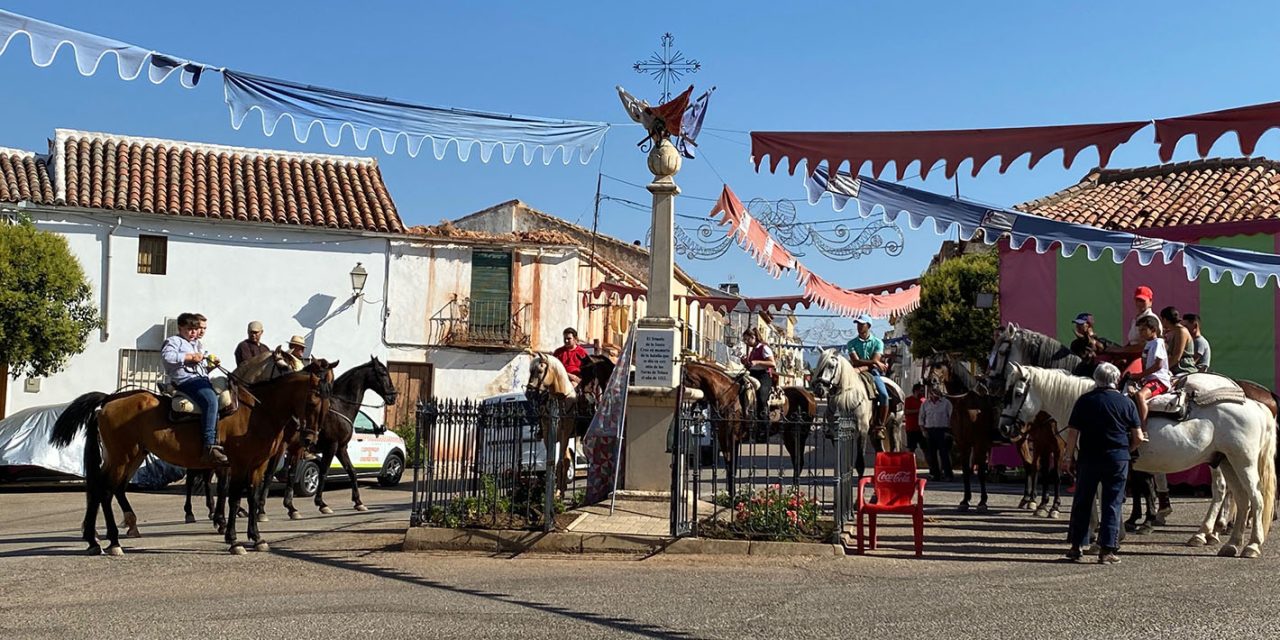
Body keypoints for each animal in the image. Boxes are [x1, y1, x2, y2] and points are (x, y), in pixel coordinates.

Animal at [49, 360, 335, 555]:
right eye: (312, 401)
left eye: (328, 402)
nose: (310, 440)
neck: (257, 411)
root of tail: (110, 399)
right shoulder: (238, 463)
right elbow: (233, 497)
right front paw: (233, 540)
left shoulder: (258, 464)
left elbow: (252, 498)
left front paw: (256, 537)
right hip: (121, 456)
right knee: (105, 490)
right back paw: (113, 542)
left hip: (133, 455)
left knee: (108, 489)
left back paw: (98, 538)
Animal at [931, 353, 998, 512]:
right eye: (931, 363)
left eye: (941, 364)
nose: (931, 382)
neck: (968, 404)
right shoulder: (963, 443)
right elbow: (966, 471)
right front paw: (965, 501)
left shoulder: (980, 444)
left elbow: (981, 472)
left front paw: (982, 502)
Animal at [1003, 366, 1274, 560]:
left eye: (1017, 393)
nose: (1005, 427)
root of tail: (1256, 405)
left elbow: (1102, 497)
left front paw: (1099, 538)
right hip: (1226, 461)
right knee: (1239, 498)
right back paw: (1229, 543)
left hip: (1243, 463)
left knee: (1255, 499)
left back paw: (1250, 545)